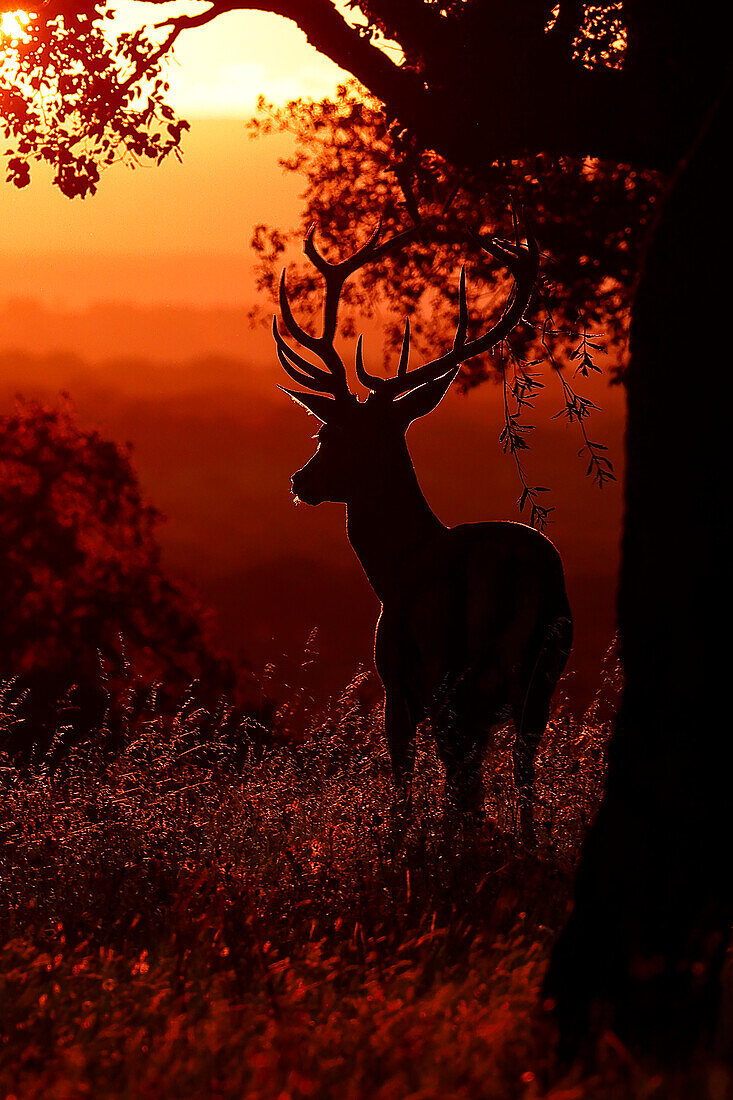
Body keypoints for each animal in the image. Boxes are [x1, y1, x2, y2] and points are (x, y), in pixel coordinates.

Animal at [274, 218, 572, 827]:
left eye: (326, 433)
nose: (300, 480)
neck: (394, 566)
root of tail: (514, 571)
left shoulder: (397, 683)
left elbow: (404, 788)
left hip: (448, 672)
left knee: (463, 790)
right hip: (541, 680)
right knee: (521, 779)